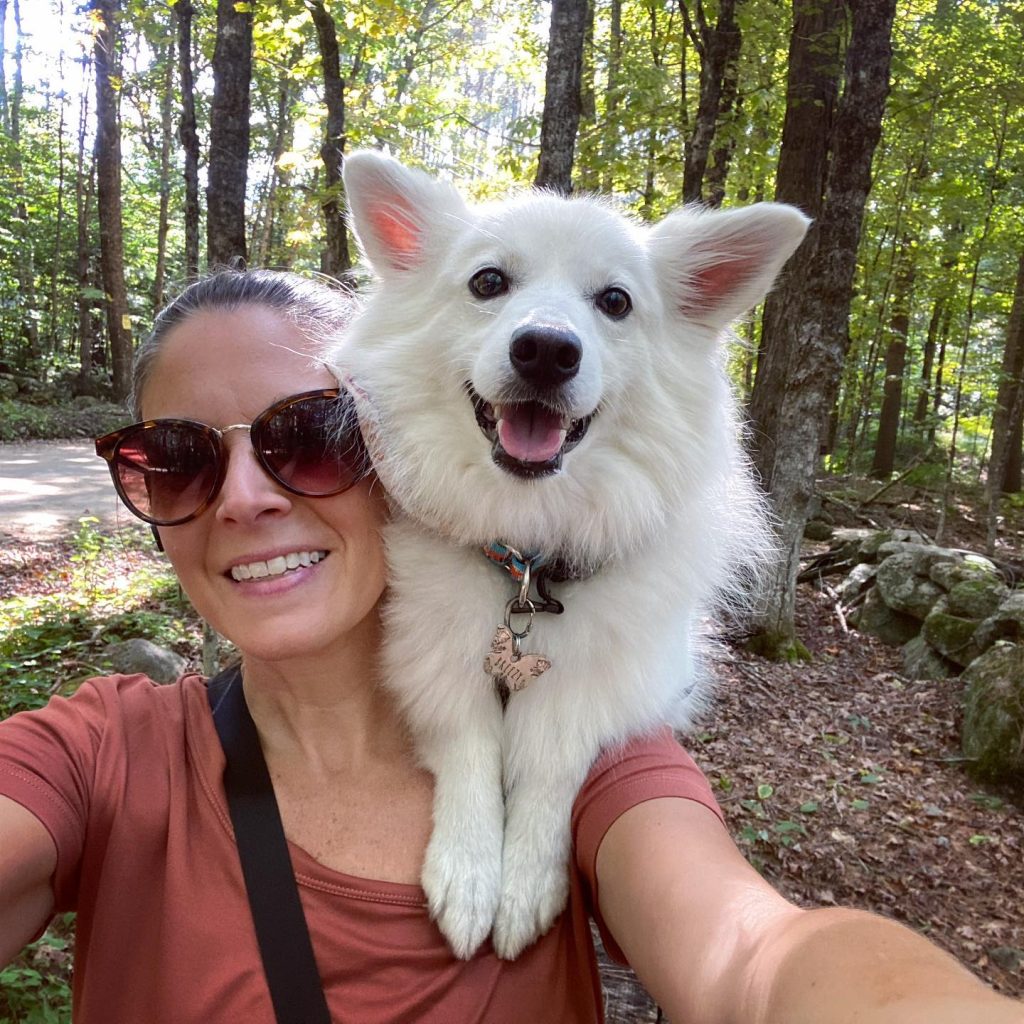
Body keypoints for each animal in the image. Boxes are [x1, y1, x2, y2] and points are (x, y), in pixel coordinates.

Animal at [333, 151, 806, 958]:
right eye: (488, 282)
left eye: (615, 302)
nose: (548, 349)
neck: (527, 562)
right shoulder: (428, 660)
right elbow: (468, 744)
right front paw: (470, 873)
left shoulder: (613, 686)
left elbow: (554, 759)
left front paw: (525, 881)